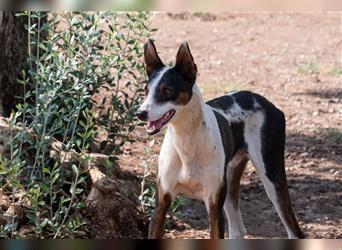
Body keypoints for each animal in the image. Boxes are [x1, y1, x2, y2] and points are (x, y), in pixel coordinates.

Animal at [136, 40, 304, 239]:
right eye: (146, 91)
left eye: (167, 90)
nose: (140, 113)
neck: (187, 141)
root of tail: (259, 99)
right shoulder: (161, 205)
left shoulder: (214, 205)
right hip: (231, 177)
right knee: (238, 230)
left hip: (272, 178)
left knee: (295, 231)